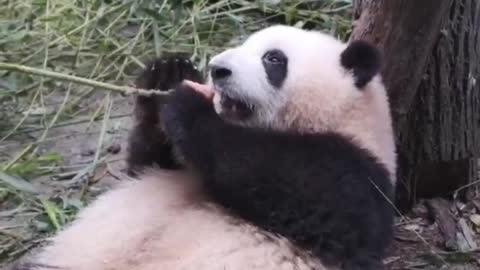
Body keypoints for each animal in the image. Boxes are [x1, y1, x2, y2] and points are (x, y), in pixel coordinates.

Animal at [15, 24, 398, 270]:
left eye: (273, 59)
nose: (218, 69)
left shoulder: (358, 174)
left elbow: (285, 182)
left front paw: (189, 106)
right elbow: (145, 164)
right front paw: (168, 74)